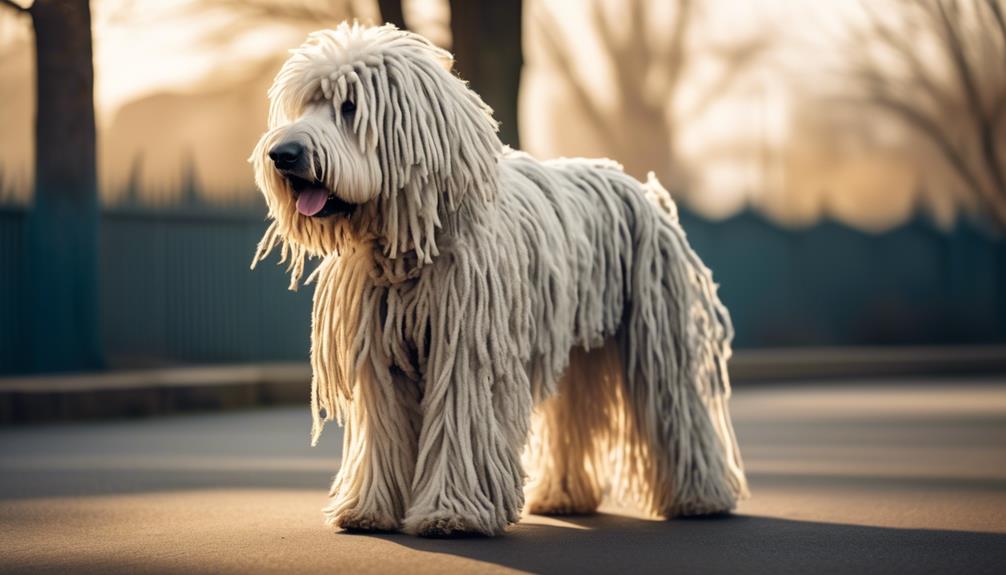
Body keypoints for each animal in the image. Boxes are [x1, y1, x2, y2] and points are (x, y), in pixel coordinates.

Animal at [251, 21, 748, 534]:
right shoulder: (382, 357)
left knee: (677, 411)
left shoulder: (463, 350)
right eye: (305, 105)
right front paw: (369, 509)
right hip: (578, 344)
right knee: (573, 416)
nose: (282, 154)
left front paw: (451, 512)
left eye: (350, 106)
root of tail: (642, 190)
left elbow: (457, 423)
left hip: (652, 336)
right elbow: (383, 431)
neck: (413, 244)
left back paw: (700, 497)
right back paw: (564, 496)